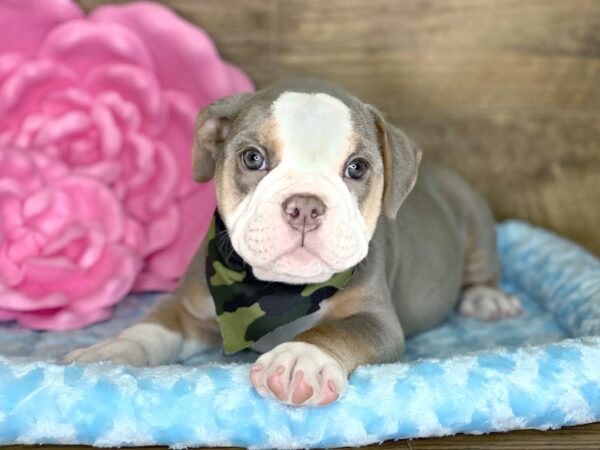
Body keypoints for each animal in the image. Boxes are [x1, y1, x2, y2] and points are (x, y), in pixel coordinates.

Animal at [63, 78, 516, 408]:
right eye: (252, 158)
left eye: (357, 167)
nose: (305, 206)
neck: (279, 289)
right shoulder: (190, 306)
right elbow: (156, 325)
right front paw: (114, 348)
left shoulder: (375, 320)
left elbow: (335, 331)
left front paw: (301, 359)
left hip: (476, 221)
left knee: (483, 268)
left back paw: (487, 298)